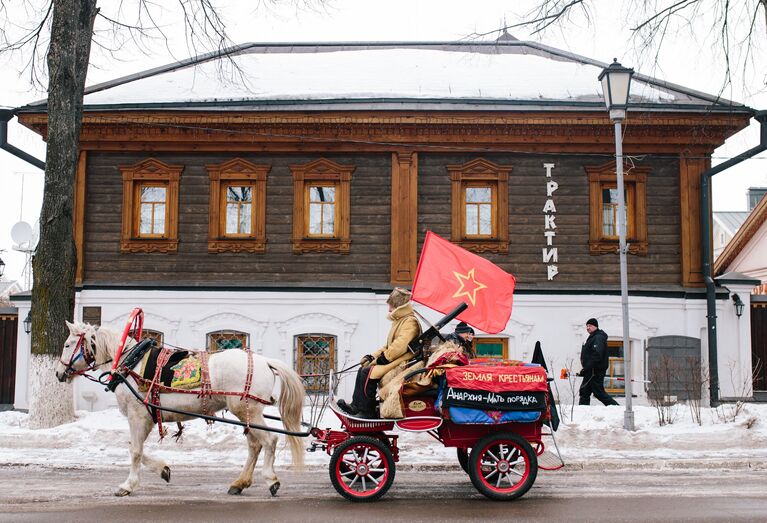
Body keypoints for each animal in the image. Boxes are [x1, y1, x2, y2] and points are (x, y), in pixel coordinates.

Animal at [55, 322, 306, 498]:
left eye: (67, 345)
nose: (58, 373)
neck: (131, 362)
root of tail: (265, 361)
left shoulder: (137, 416)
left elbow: (134, 450)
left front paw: (127, 485)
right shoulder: (147, 417)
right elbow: (134, 447)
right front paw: (162, 469)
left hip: (248, 412)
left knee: (270, 441)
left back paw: (271, 480)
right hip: (246, 413)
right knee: (255, 445)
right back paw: (239, 483)